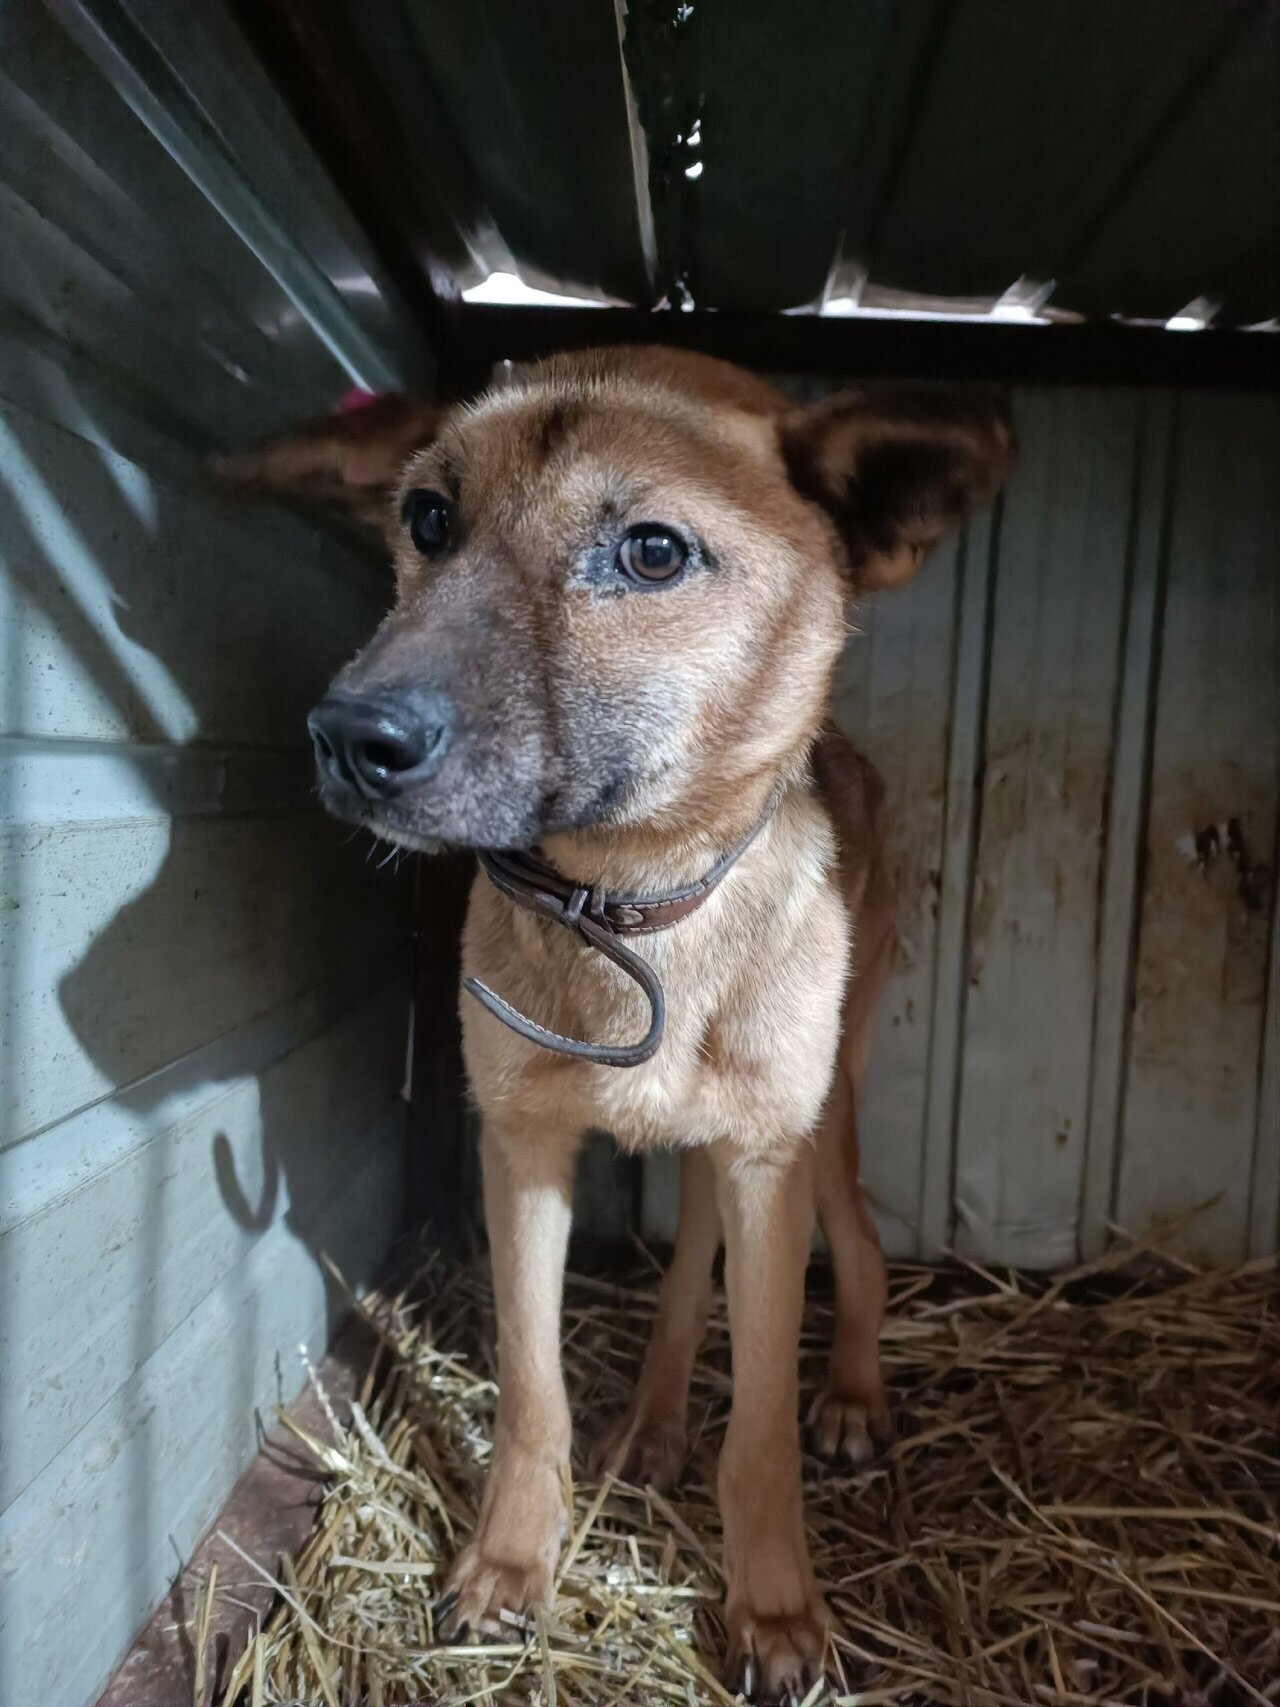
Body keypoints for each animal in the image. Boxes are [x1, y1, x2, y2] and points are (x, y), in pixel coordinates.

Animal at [225, 349, 1017, 1693]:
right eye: (426, 518)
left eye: (652, 553)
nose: (347, 739)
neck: (631, 907)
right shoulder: (521, 1146)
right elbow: (530, 1385)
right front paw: (508, 1562)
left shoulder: (764, 1153)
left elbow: (759, 1424)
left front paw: (775, 1607)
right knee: (688, 1260)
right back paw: (648, 1421)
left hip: (826, 1113)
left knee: (856, 1246)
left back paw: (852, 1394)